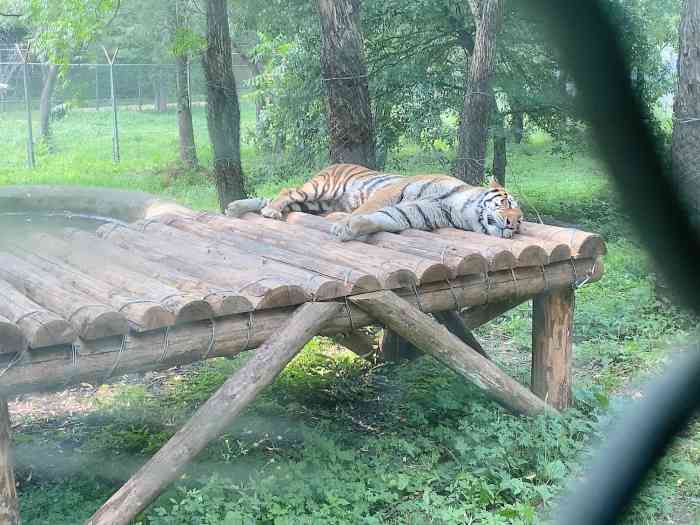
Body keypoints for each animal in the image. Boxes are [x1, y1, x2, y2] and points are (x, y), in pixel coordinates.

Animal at [227, 163, 524, 241]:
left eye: (521, 222)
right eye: (507, 202)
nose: (513, 223)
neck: (461, 210)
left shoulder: (411, 214)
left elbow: (380, 219)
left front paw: (349, 229)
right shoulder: (394, 190)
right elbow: (370, 208)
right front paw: (343, 225)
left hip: (317, 204)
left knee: (277, 199)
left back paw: (235, 207)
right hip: (320, 189)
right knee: (286, 191)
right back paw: (269, 212)